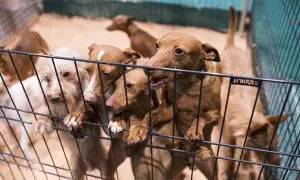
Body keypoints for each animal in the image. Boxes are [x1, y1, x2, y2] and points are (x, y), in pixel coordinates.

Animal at [212, 6, 290, 179]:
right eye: (266, 149)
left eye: (277, 145)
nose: (278, 163)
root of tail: (232, 46)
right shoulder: (227, 137)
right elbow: (228, 157)